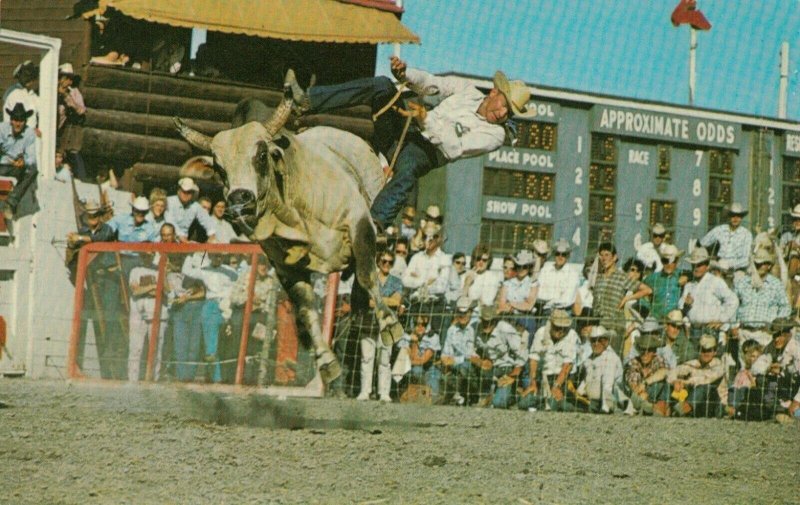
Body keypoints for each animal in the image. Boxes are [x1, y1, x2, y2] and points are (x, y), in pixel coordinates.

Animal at [172, 75, 404, 382]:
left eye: (261, 155)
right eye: (220, 169)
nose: (240, 198)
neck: (294, 212)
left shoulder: (358, 222)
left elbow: (367, 275)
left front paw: (389, 323)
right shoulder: (285, 266)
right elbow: (305, 307)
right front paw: (326, 361)